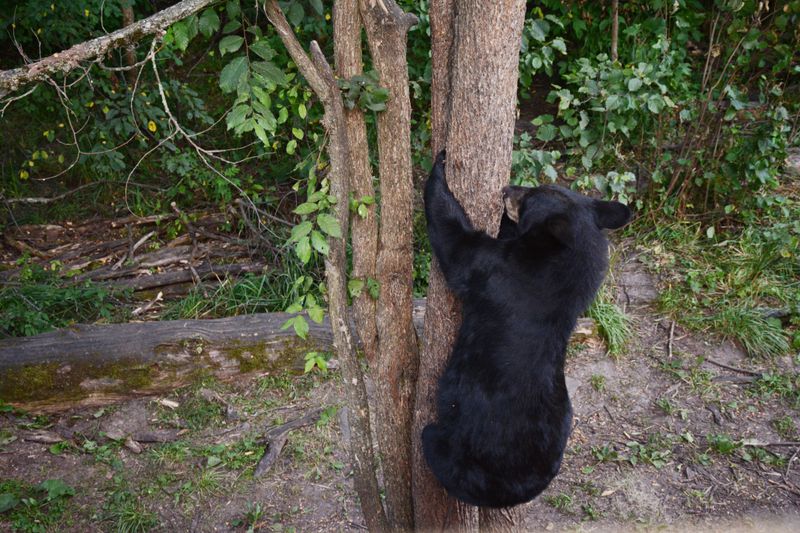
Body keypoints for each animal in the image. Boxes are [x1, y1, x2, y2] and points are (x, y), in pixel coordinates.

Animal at [421, 150, 631, 508]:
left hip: (467, 458)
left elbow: (459, 245)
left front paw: (439, 165)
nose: (507, 189)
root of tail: (522, 490)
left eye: (530, 196)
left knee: (437, 447)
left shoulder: (501, 272)